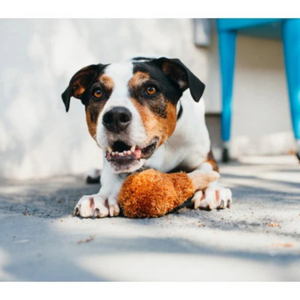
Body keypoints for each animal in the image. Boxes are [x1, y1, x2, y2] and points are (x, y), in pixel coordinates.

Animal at [62, 56, 233, 218]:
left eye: (151, 89)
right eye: (97, 92)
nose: (115, 116)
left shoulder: (204, 157)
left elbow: (208, 170)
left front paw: (209, 191)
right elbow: (111, 176)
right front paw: (102, 197)